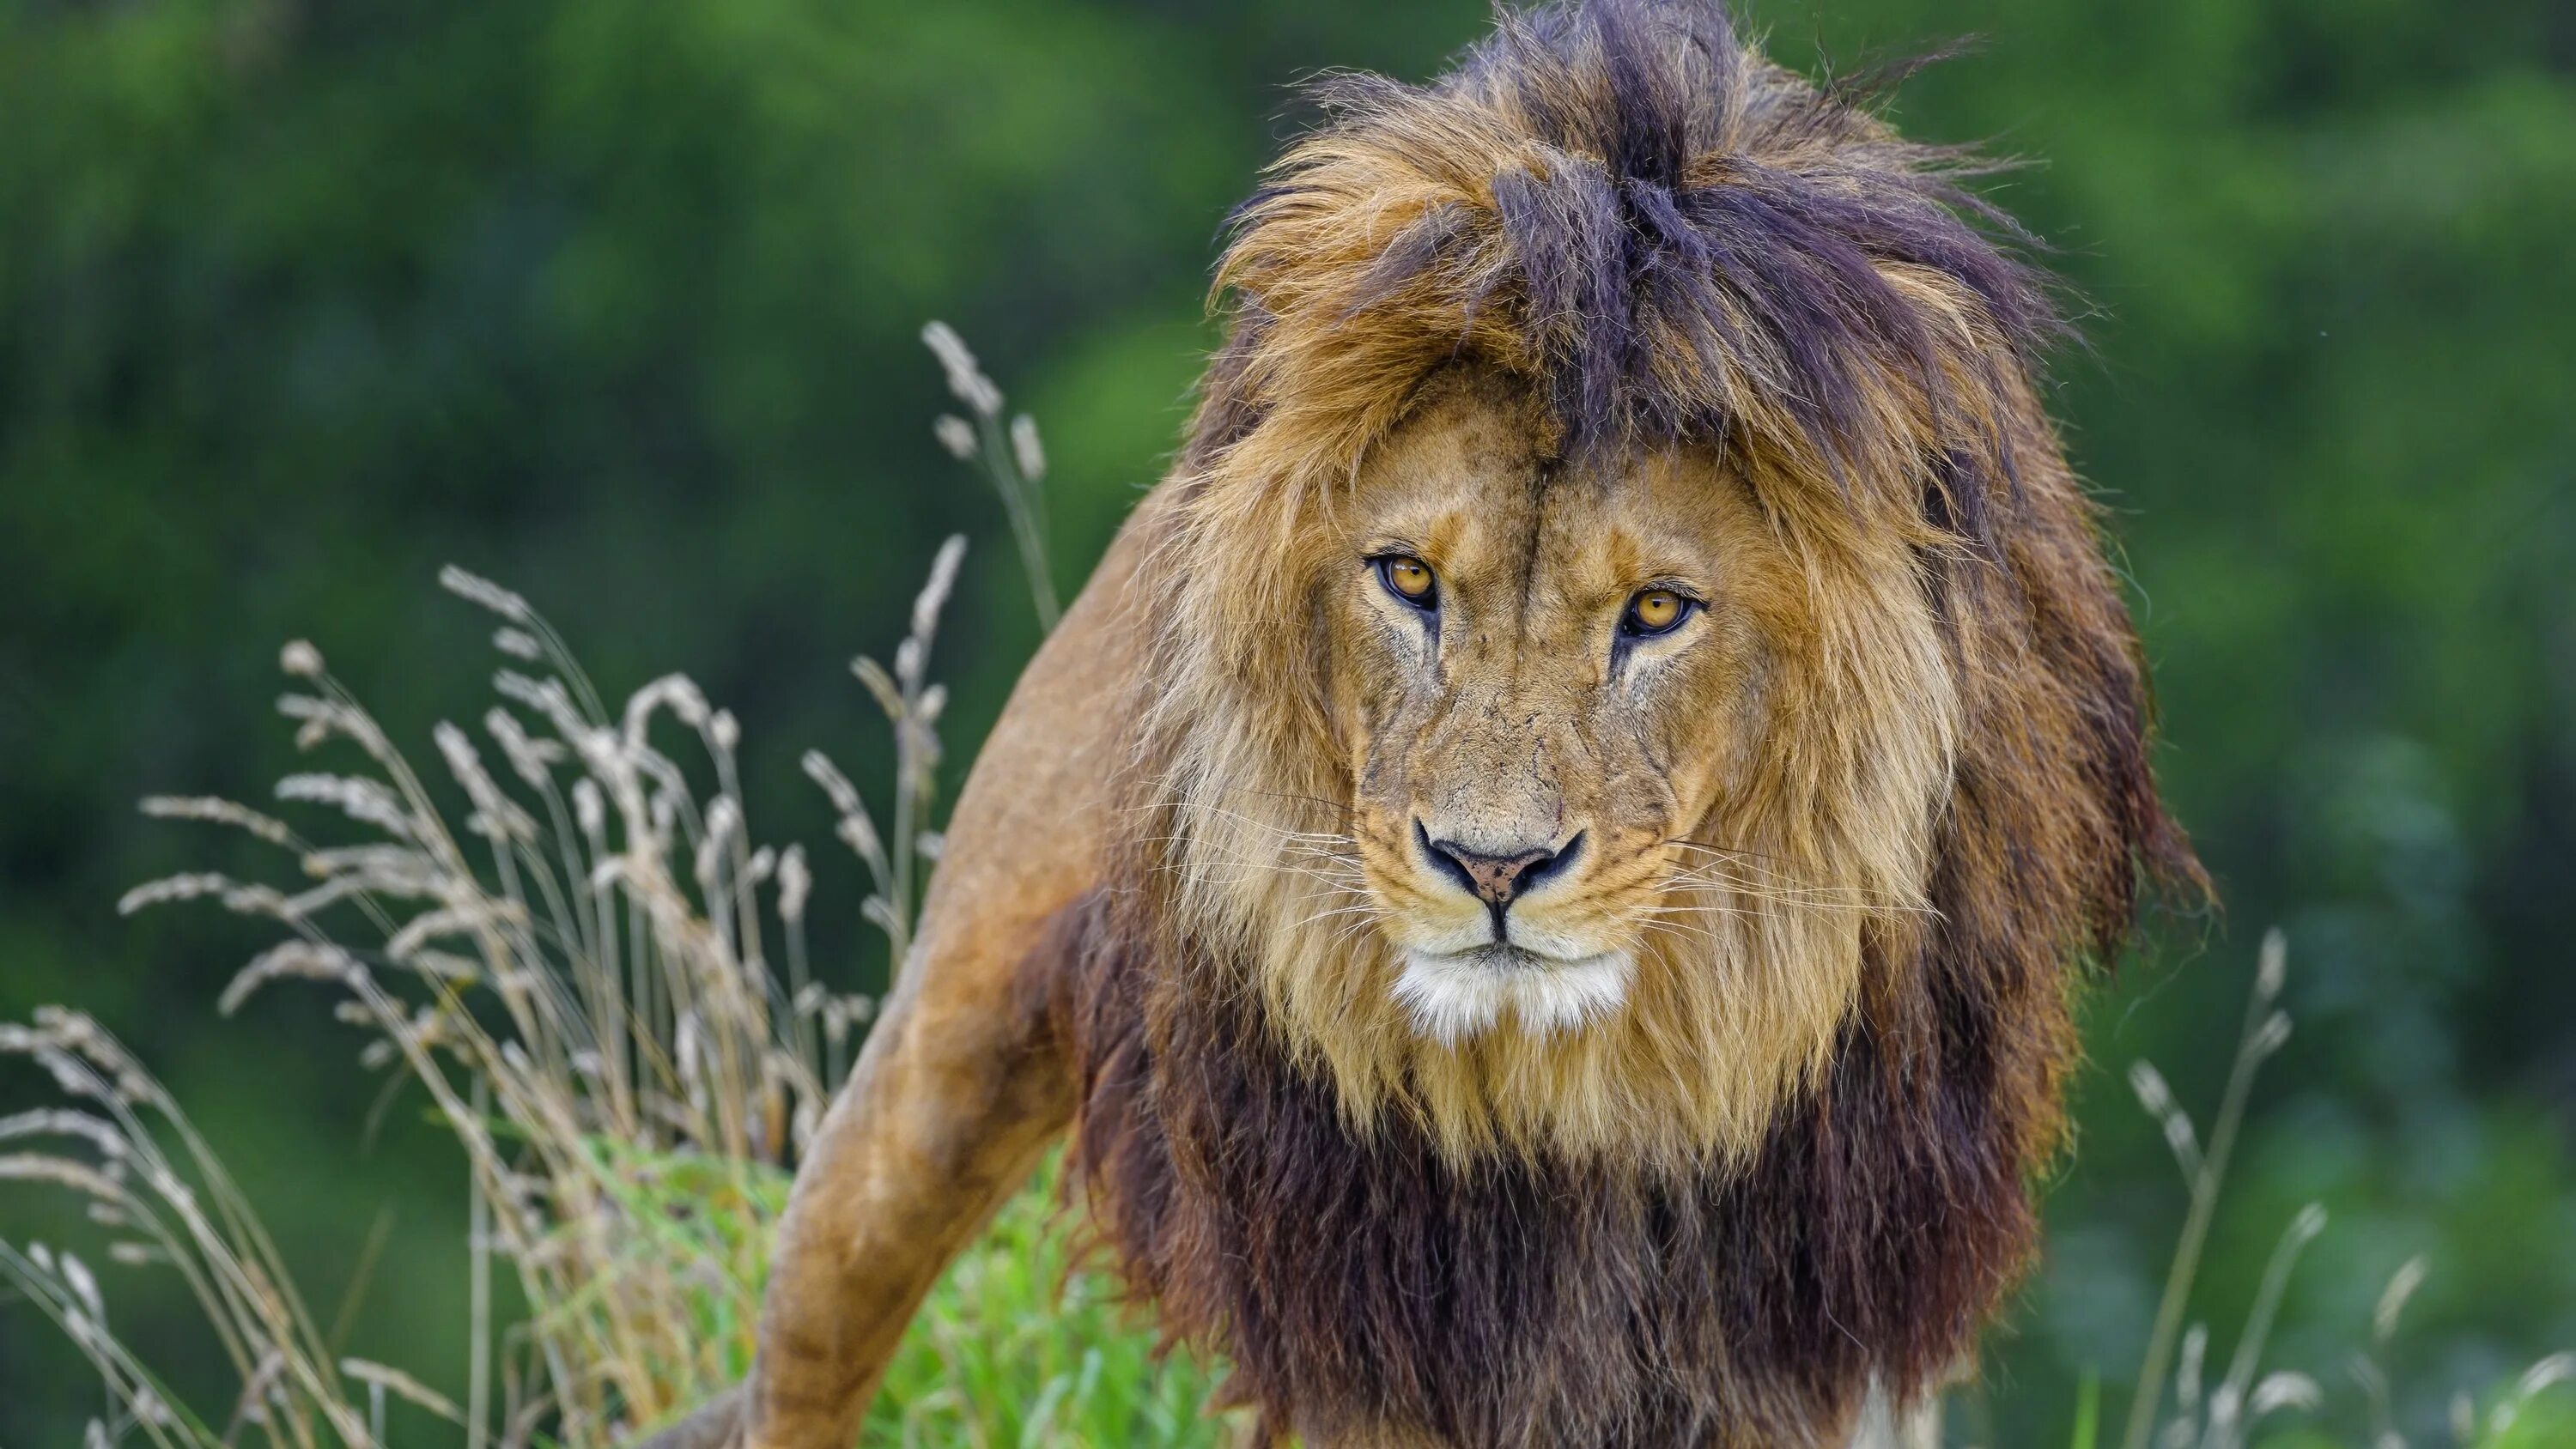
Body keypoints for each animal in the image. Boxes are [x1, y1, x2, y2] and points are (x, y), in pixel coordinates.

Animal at [647, 1, 2201, 1445]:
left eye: (1656, 610)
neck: (1599, 1085)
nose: (1492, 867)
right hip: (923, 1084)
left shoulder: (1810, 1325)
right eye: (1406, 579)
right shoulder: (1379, 1310)